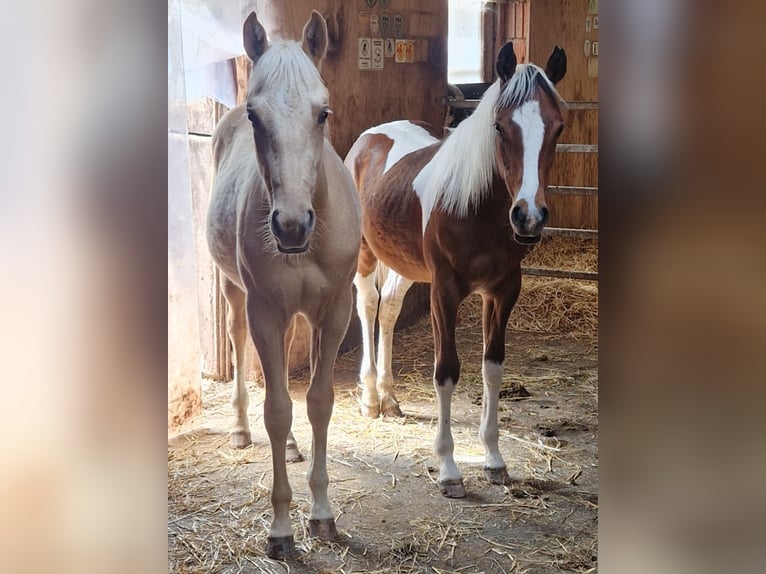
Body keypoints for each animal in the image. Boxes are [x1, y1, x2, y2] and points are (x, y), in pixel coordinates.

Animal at [206, 11, 361, 559]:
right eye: (256, 117)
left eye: (323, 113)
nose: (292, 226)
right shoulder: (265, 311)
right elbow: (276, 409)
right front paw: (281, 528)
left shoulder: (334, 312)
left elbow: (317, 403)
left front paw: (323, 514)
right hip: (233, 292)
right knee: (236, 339)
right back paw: (237, 429)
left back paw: (293, 449)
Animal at [345, 42, 567, 498]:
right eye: (500, 127)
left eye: (558, 128)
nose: (529, 217)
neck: (476, 209)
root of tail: (372, 136)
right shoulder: (444, 292)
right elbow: (446, 371)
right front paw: (449, 468)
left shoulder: (503, 291)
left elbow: (492, 367)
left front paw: (494, 460)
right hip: (366, 253)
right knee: (368, 304)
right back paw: (371, 398)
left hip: (405, 266)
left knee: (389, 309)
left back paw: (390, 398)